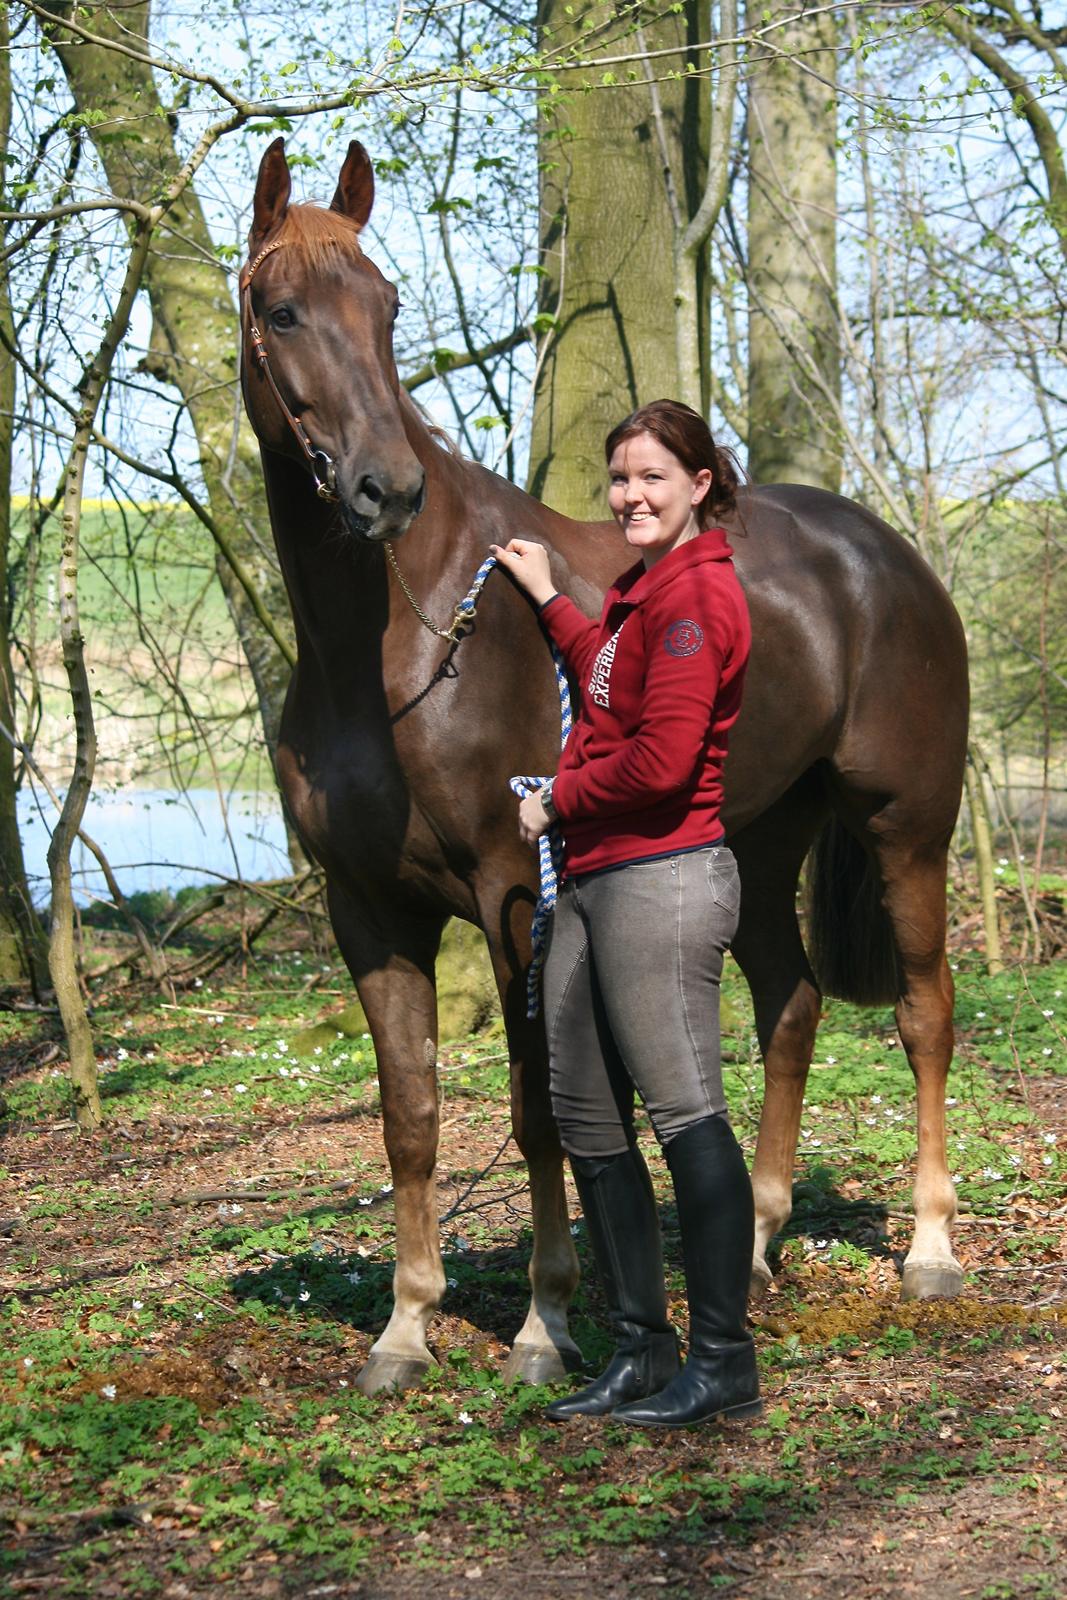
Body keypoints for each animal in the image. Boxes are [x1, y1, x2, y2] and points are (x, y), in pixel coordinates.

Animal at [239, 140, 966, 1388]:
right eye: (280, 309)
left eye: (386, 309)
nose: (388, 488)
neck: (401, 643)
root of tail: (884, 557)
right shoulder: (366, 907)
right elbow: (410, 1116)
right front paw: (404, 1328)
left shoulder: (509, 893)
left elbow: (541, 1107)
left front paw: (542, 1325)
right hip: (756, 844)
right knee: (789, 1006)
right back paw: (755, 1247)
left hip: (904, 832)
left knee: (923, 1014)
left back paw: (926, 1249)